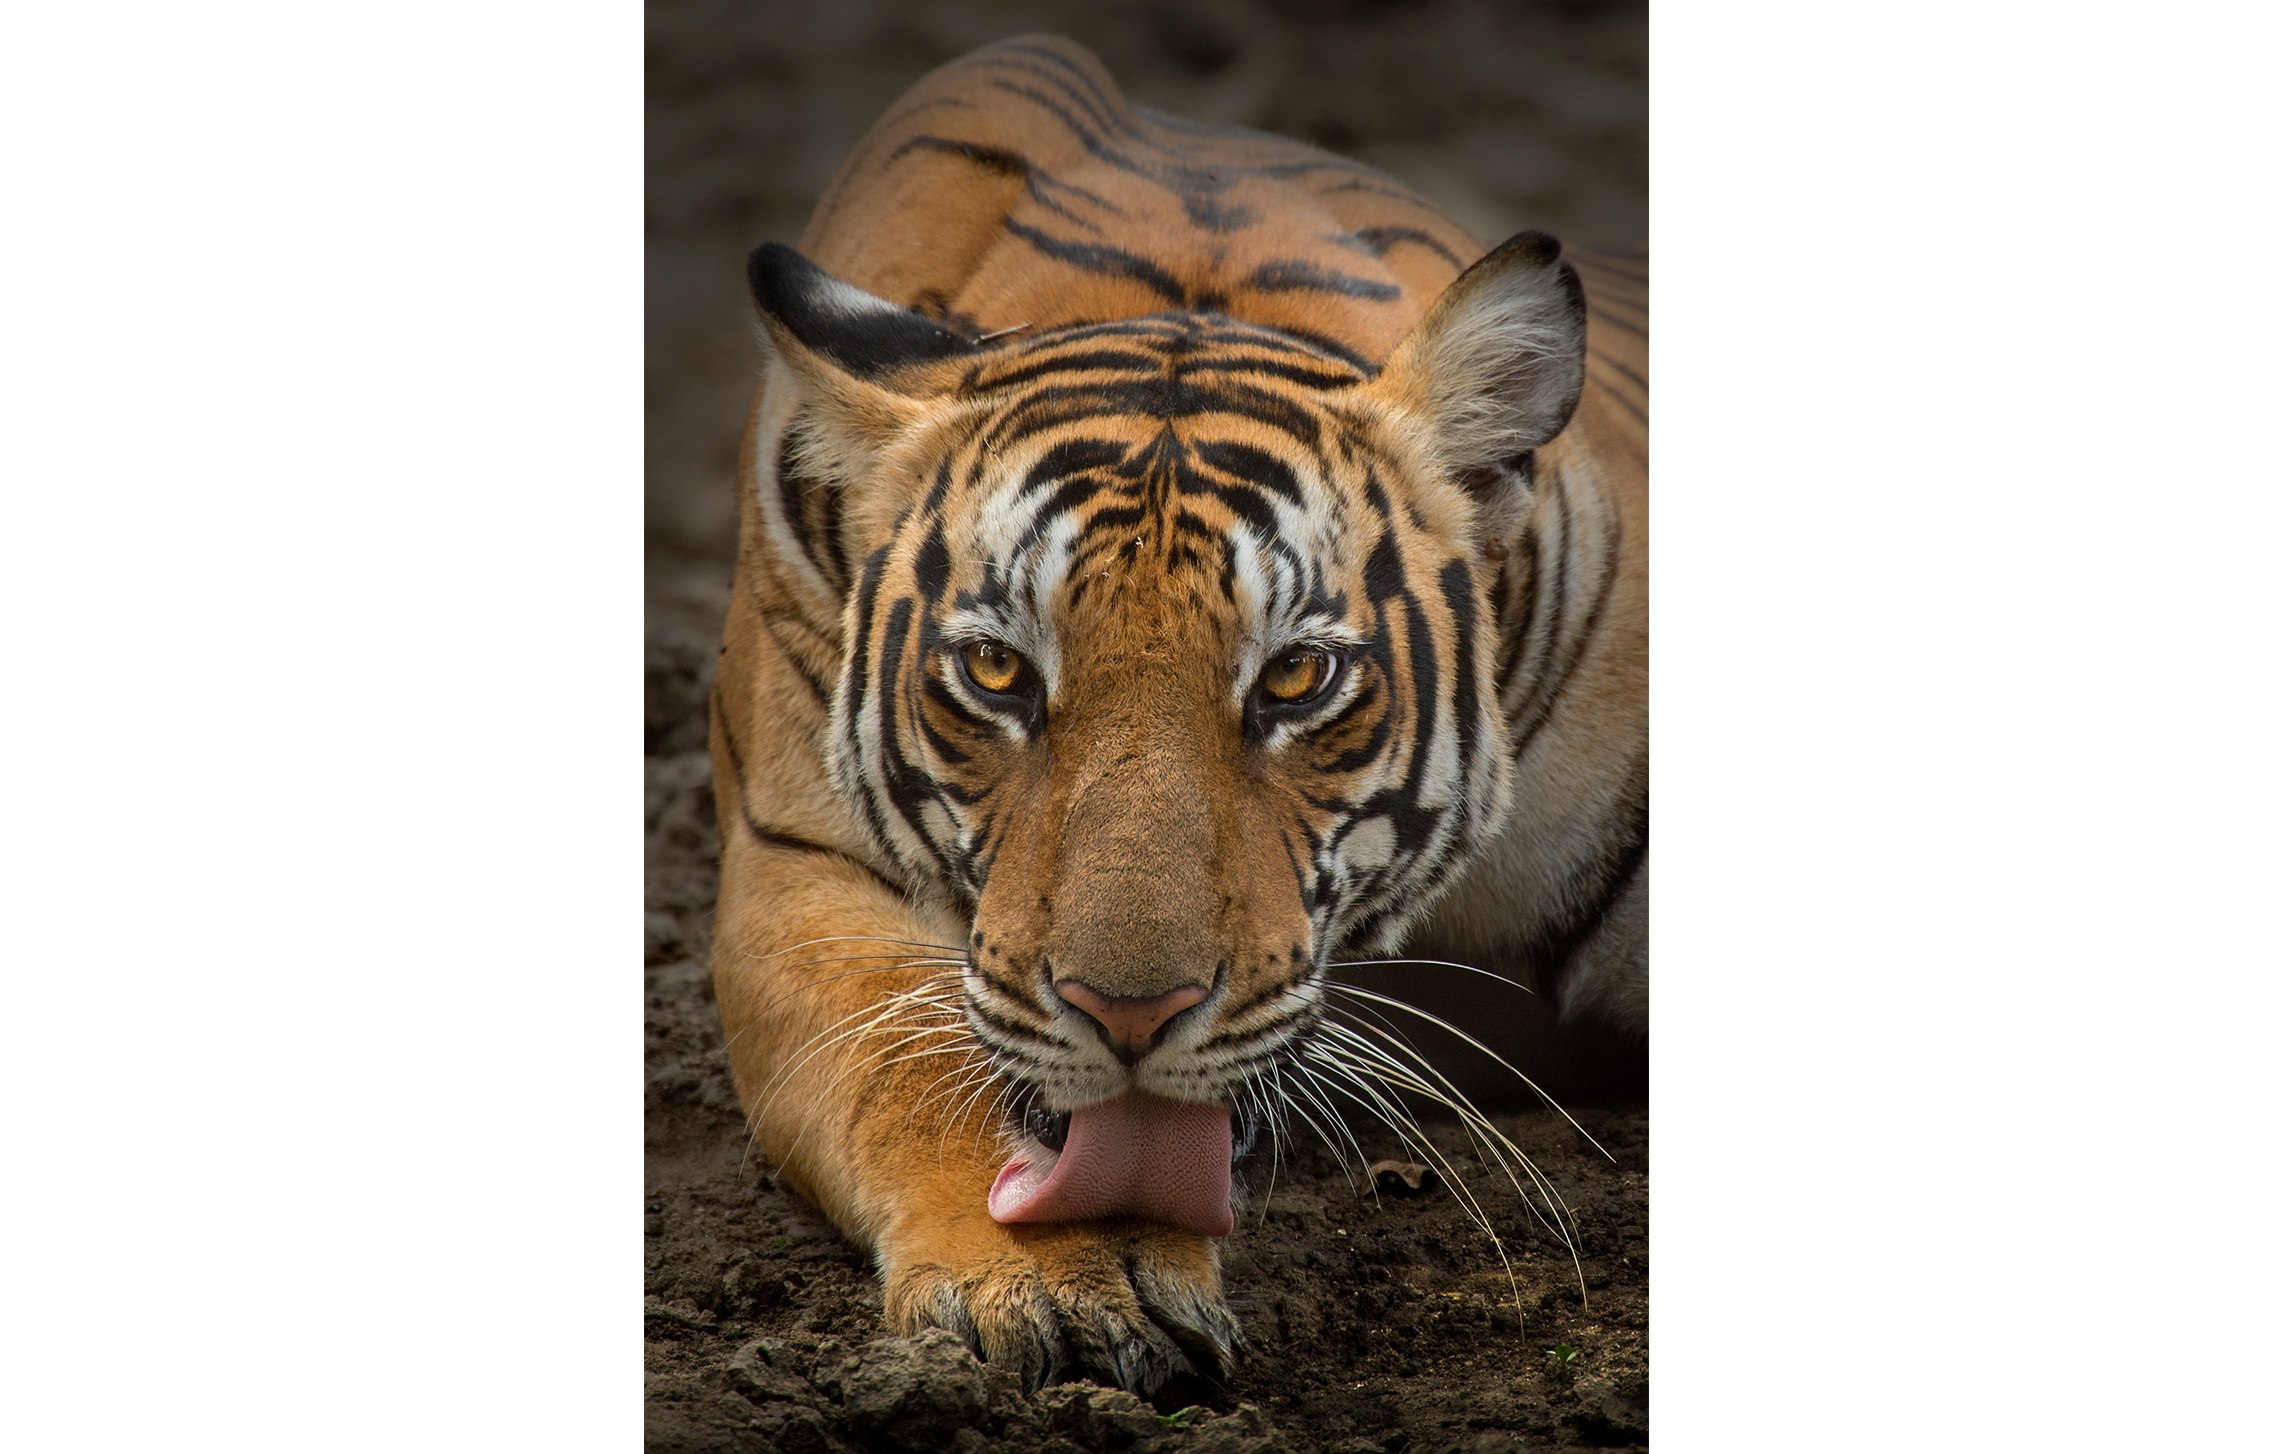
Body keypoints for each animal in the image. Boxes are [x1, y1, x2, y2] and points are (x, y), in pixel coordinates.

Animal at [708, 34, 1646, 1398]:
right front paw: (1066, 1276)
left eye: (1295, 678)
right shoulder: (796, 863)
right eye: (997, 672)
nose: (1127, 1017)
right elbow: (913, 1060)